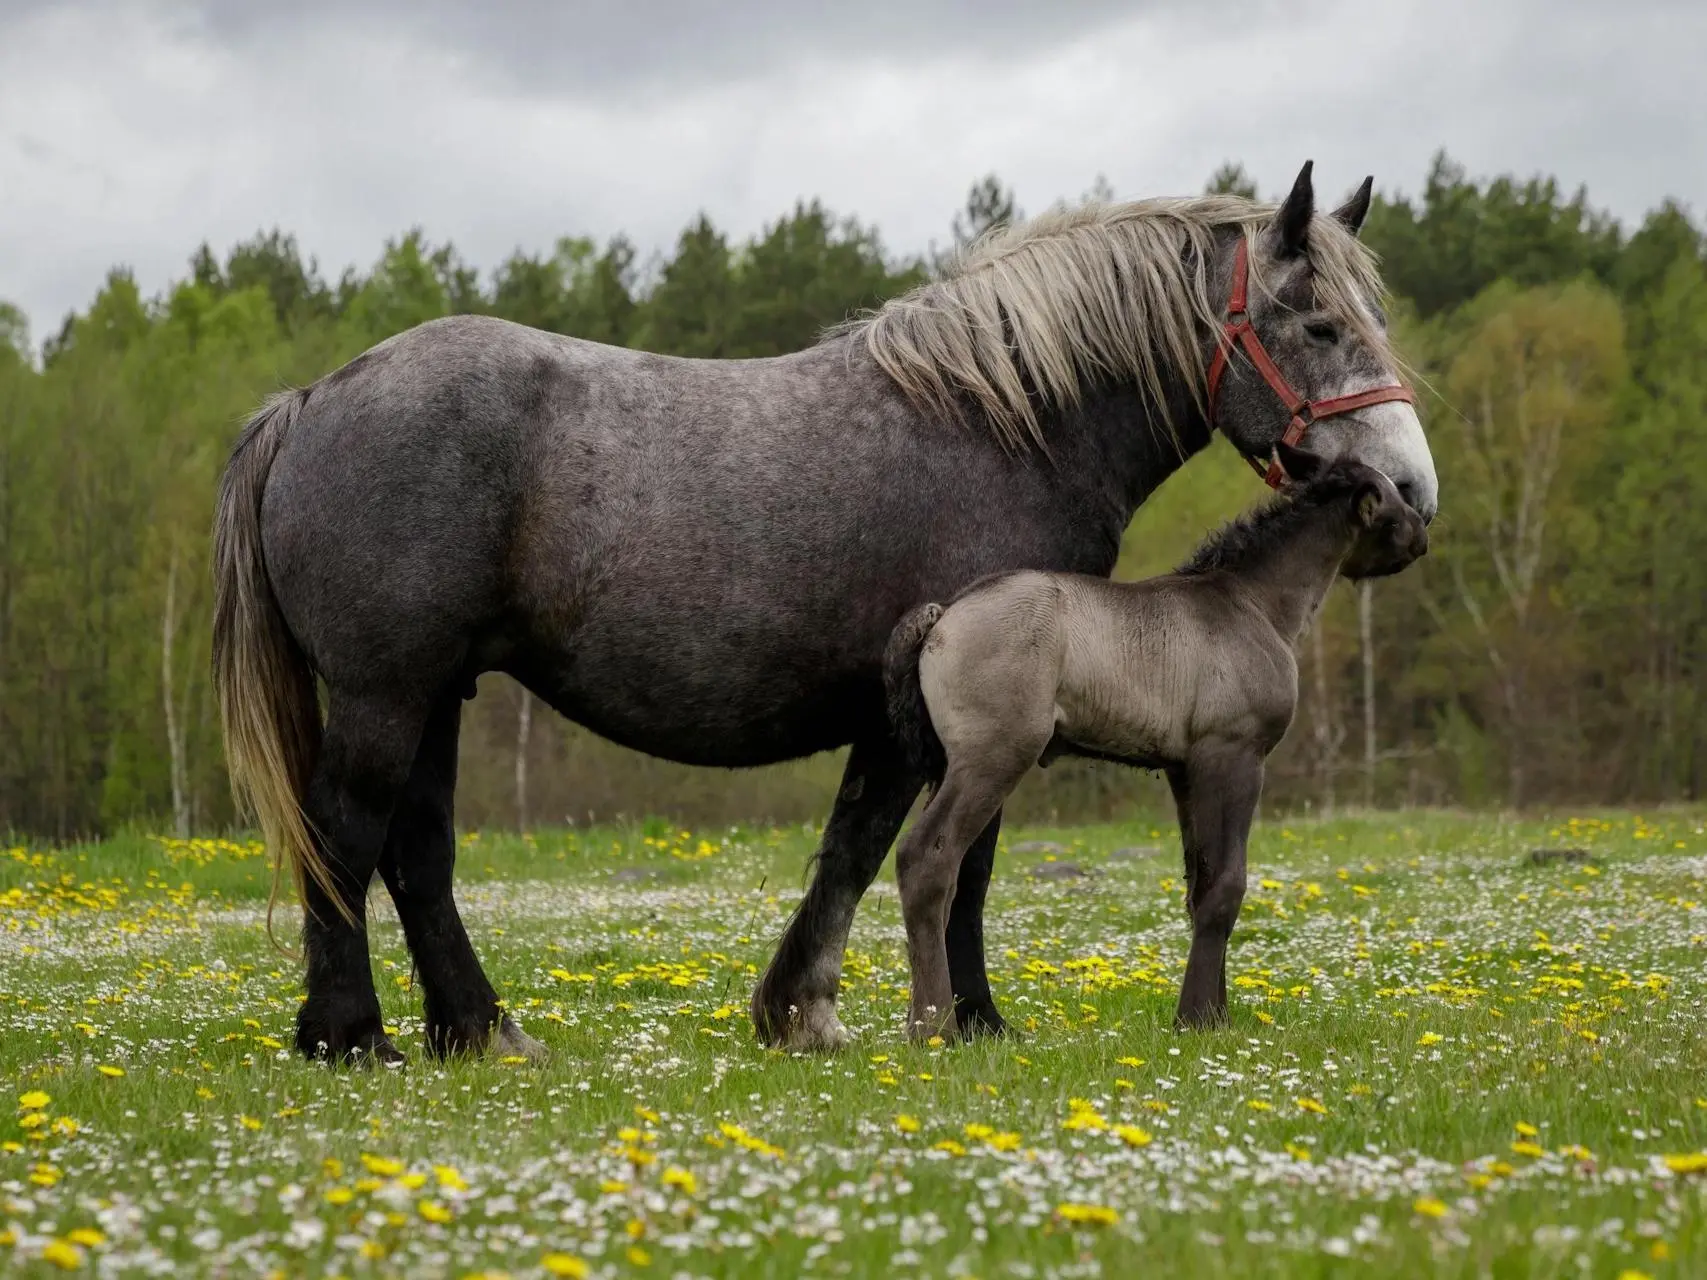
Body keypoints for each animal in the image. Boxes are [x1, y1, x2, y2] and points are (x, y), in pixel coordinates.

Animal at [880, 443, 1427, 1044]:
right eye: (1393, 498)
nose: (1422, 535)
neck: (1254, 603)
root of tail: (941, 618)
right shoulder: (1233, 754)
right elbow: (1226, 886)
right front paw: (1196, 1017)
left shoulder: (1184, 769)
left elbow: (1200, 883)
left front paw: (1216, 1013)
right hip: (991, 759)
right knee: (927, 859)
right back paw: (933, 1027)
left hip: (946, 765)